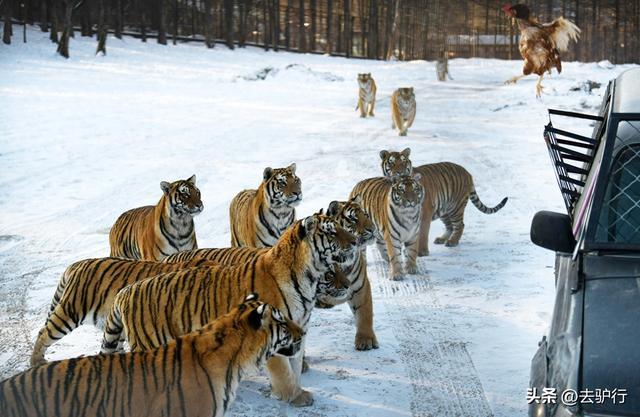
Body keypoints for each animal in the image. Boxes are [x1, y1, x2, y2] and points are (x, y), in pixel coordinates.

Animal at [102, 210, 358, 404]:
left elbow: (294, 366)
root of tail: (125, 292)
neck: (308, 279)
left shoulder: (298, 330)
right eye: (331, 231)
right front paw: (295, 398)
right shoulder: (274, 332)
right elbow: (285, 372)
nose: (355, 241)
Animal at [380, 148, 510, 255]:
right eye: (391, 163)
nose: (400, 172)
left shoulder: (425, 213)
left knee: (460, 225)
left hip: (456, 208)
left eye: (403, 162)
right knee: (450, 226)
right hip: (444, 209)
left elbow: (423, 233)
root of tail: (468, 173)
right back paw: (442, 239)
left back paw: (452, 241)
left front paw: (422, 252)